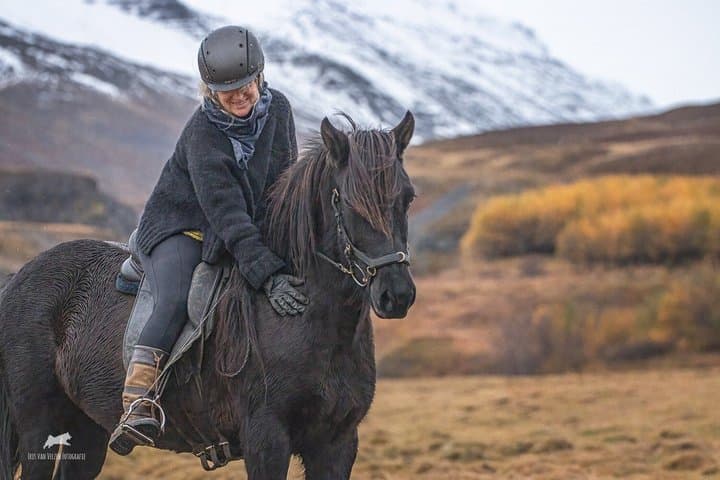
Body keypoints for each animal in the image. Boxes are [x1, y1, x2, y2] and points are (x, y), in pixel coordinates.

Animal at [0, 111, 417, 479]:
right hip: (39, 427)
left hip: (86, 430)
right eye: (345, 200)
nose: (396, 295)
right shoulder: (266, 438)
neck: (313, 324)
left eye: (408, 197)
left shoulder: (336, 443)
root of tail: (19, 278)